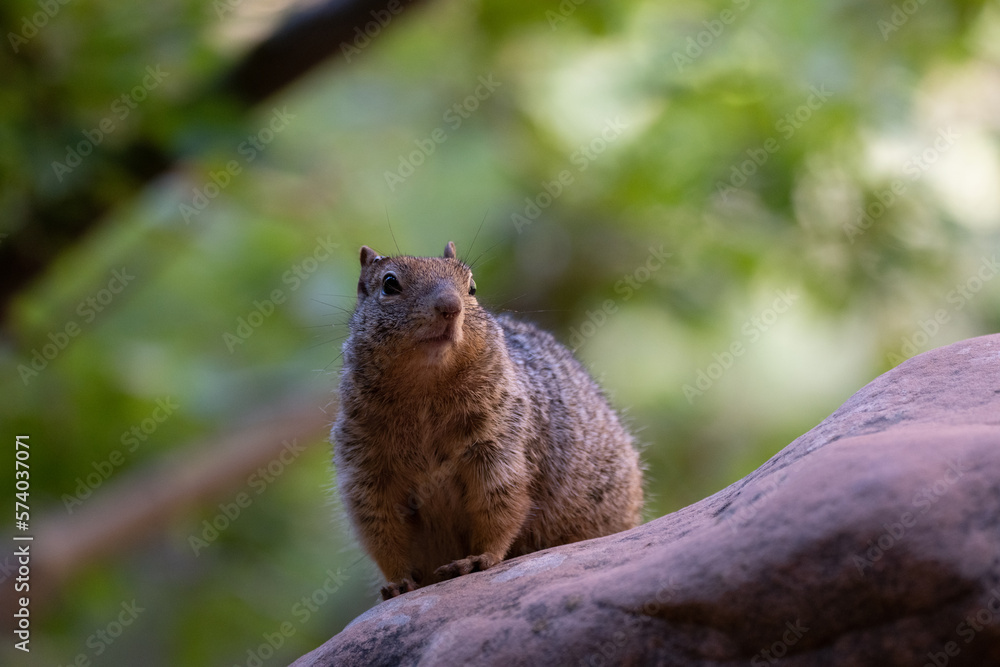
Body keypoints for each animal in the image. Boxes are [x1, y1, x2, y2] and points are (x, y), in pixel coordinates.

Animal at [333, 241, 643, 600]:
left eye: (472, 287)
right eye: (389, 284)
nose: (450, 307)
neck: (425, 389)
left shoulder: (500, 443)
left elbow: (499, 505)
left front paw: (478, 559)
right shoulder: (366, 469)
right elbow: (381, 529)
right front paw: (398, 581)